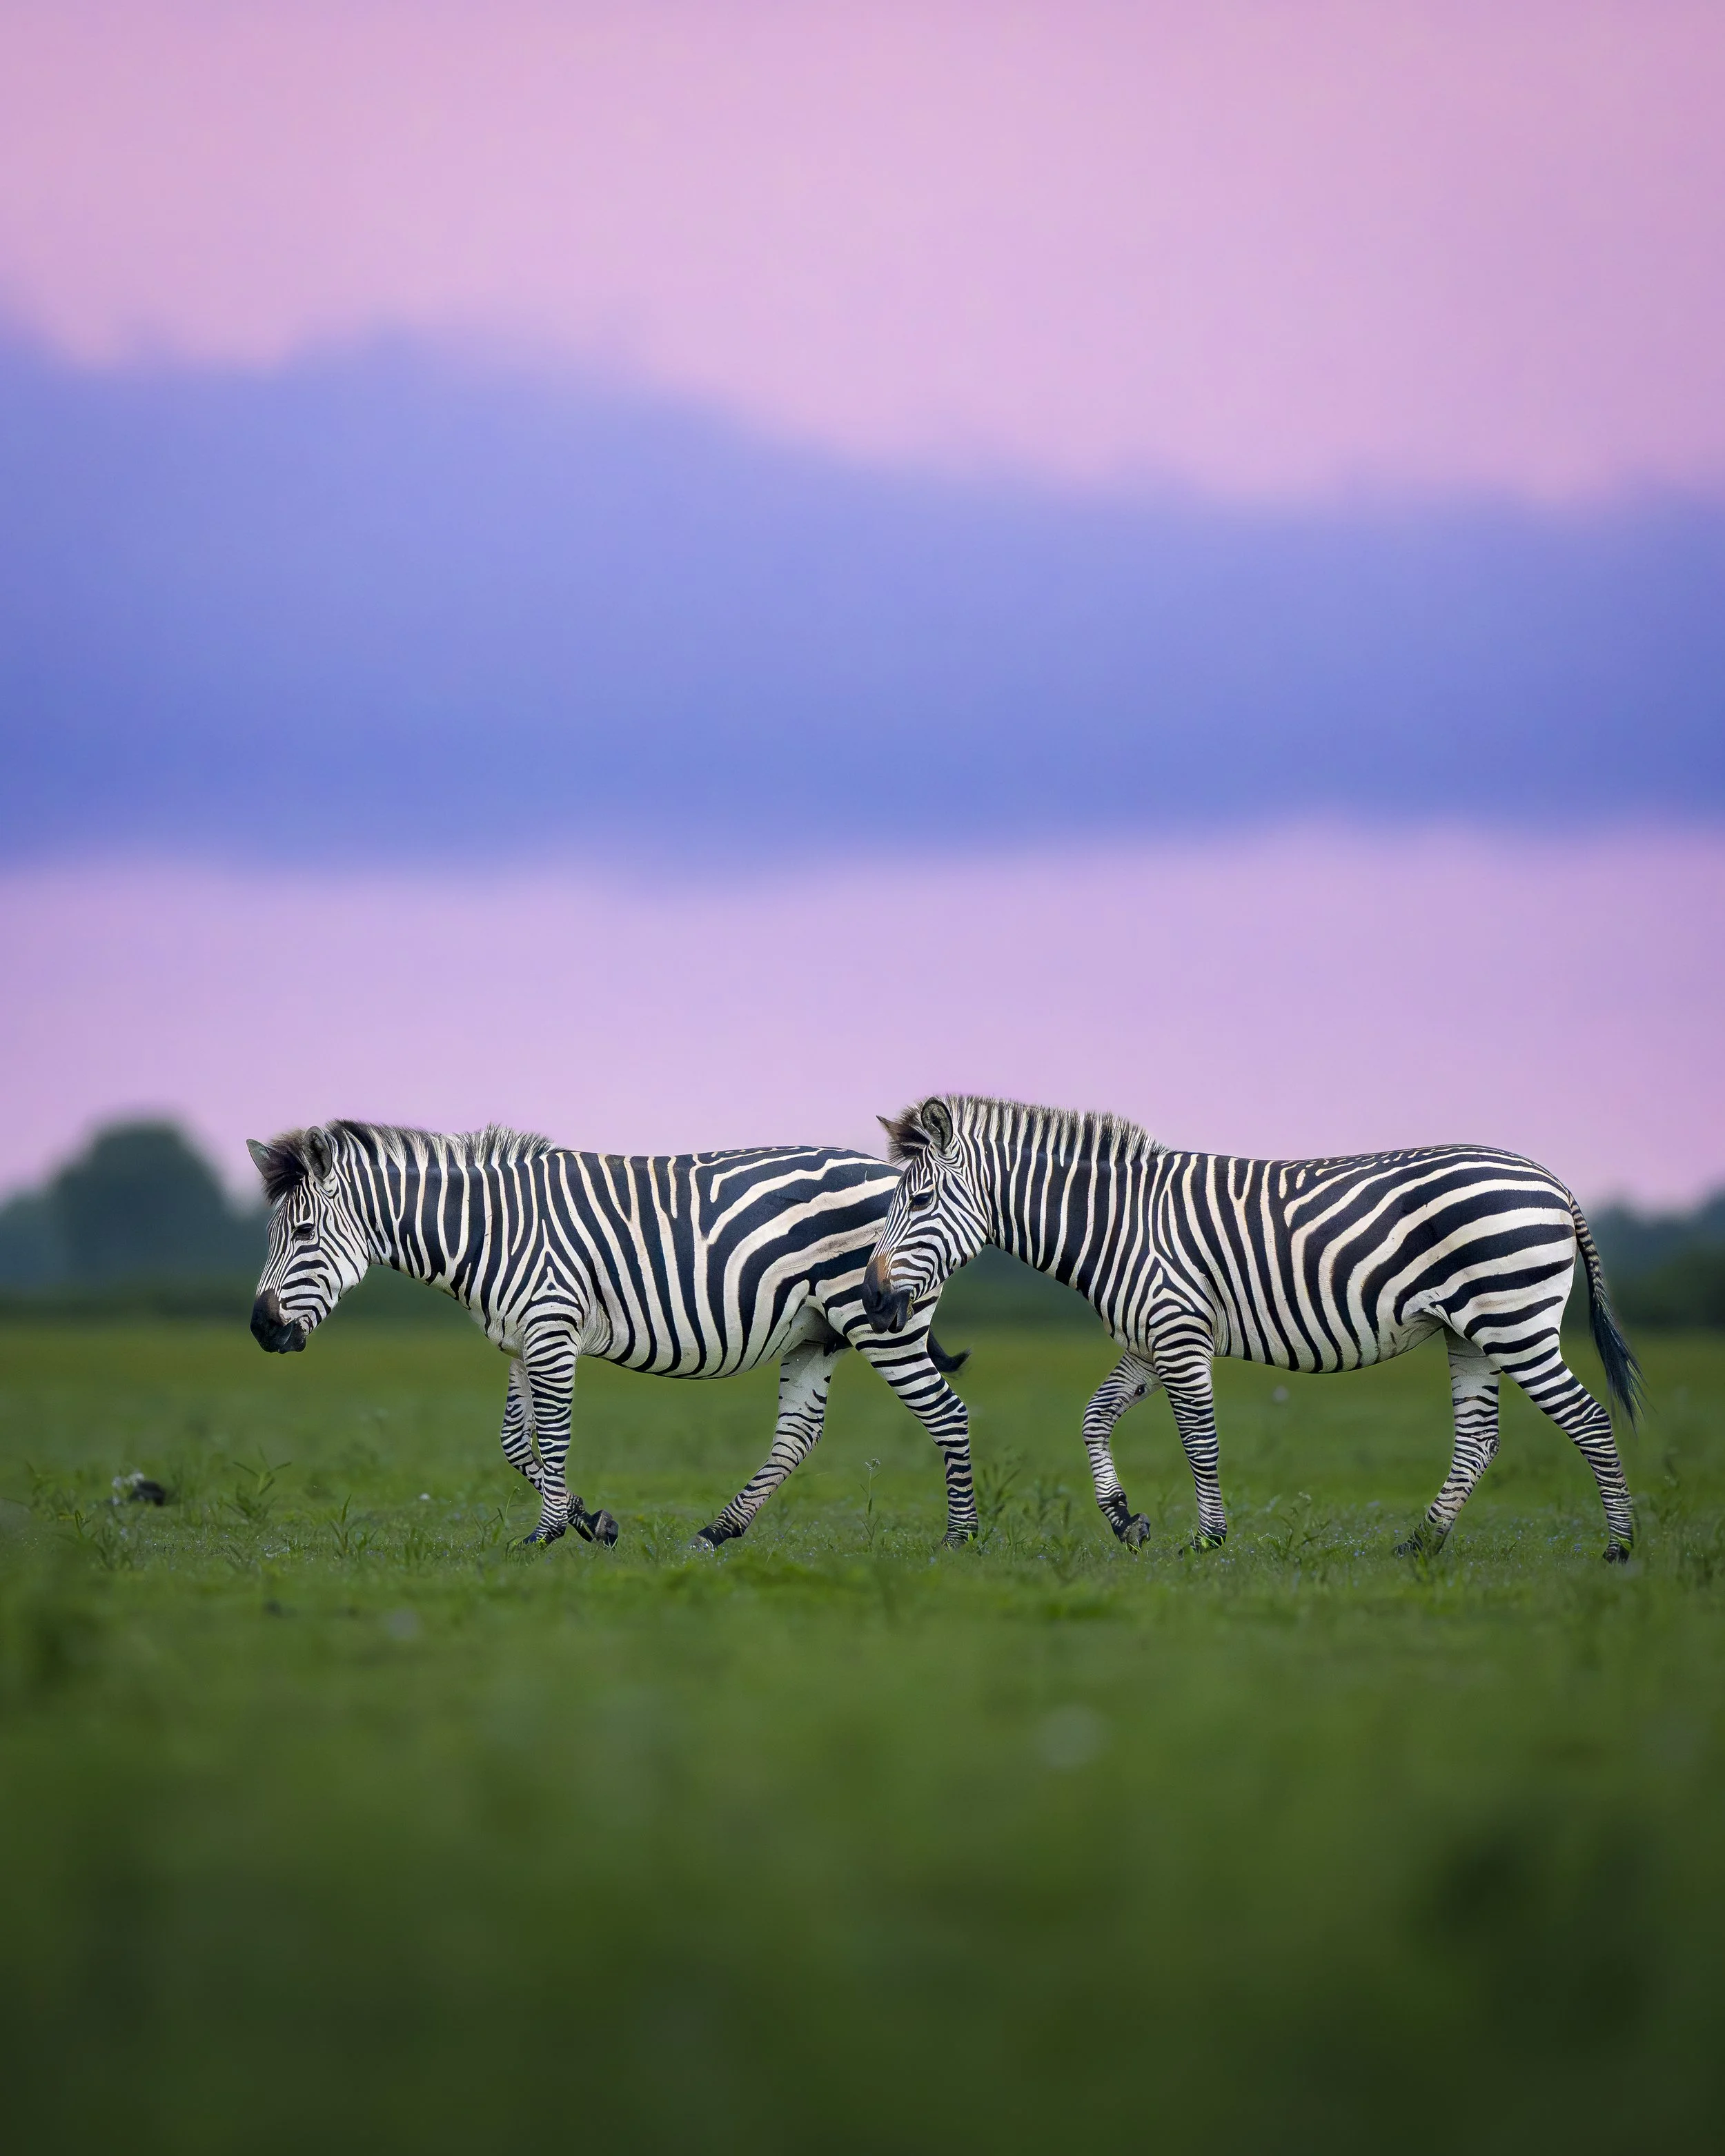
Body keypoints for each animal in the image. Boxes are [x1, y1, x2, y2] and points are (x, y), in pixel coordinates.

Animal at [247, 1121, 976, 1548]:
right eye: (273, 1233)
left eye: (304, 1233)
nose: (260, 1328)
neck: (488, 1231)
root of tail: (896, 1176)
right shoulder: (520, 1337)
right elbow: (515, 1441)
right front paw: (591, 1522)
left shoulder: (551, 1326)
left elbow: (554, 1433)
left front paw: (544, 1536)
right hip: (813, 1333)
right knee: (797, 1433)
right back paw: (717, 1531)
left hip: (878, 1321)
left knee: (948, 1414)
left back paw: (960, 1540)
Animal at [860, 1095, 1642, 1562]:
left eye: (918, 1201)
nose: (871, 1299)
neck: (1117, 1223)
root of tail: (1550, 1179)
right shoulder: (1147, 1340)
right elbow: (1092, 1419)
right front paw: (1124, 1518)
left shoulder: (1178, 1330)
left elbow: (1199, 1440)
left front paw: (1208, 1539)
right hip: (1470, 1331)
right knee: (1479, 1438)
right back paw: (1421, 1542)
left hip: (1513, 1319)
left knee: (1589, 1418)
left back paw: (1619, 1546)